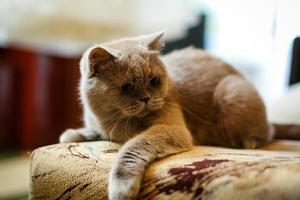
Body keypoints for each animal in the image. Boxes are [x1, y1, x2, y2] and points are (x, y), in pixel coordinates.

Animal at [58, 32, 300, 199]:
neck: (113, 122)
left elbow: (131, 148)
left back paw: (248, 142)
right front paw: (72, 134)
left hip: (233, 94)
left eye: (154, 81)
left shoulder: (171, 129)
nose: (146, 98)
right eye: (126, 87)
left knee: (267, 132)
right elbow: (91, 131)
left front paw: (122, 188)